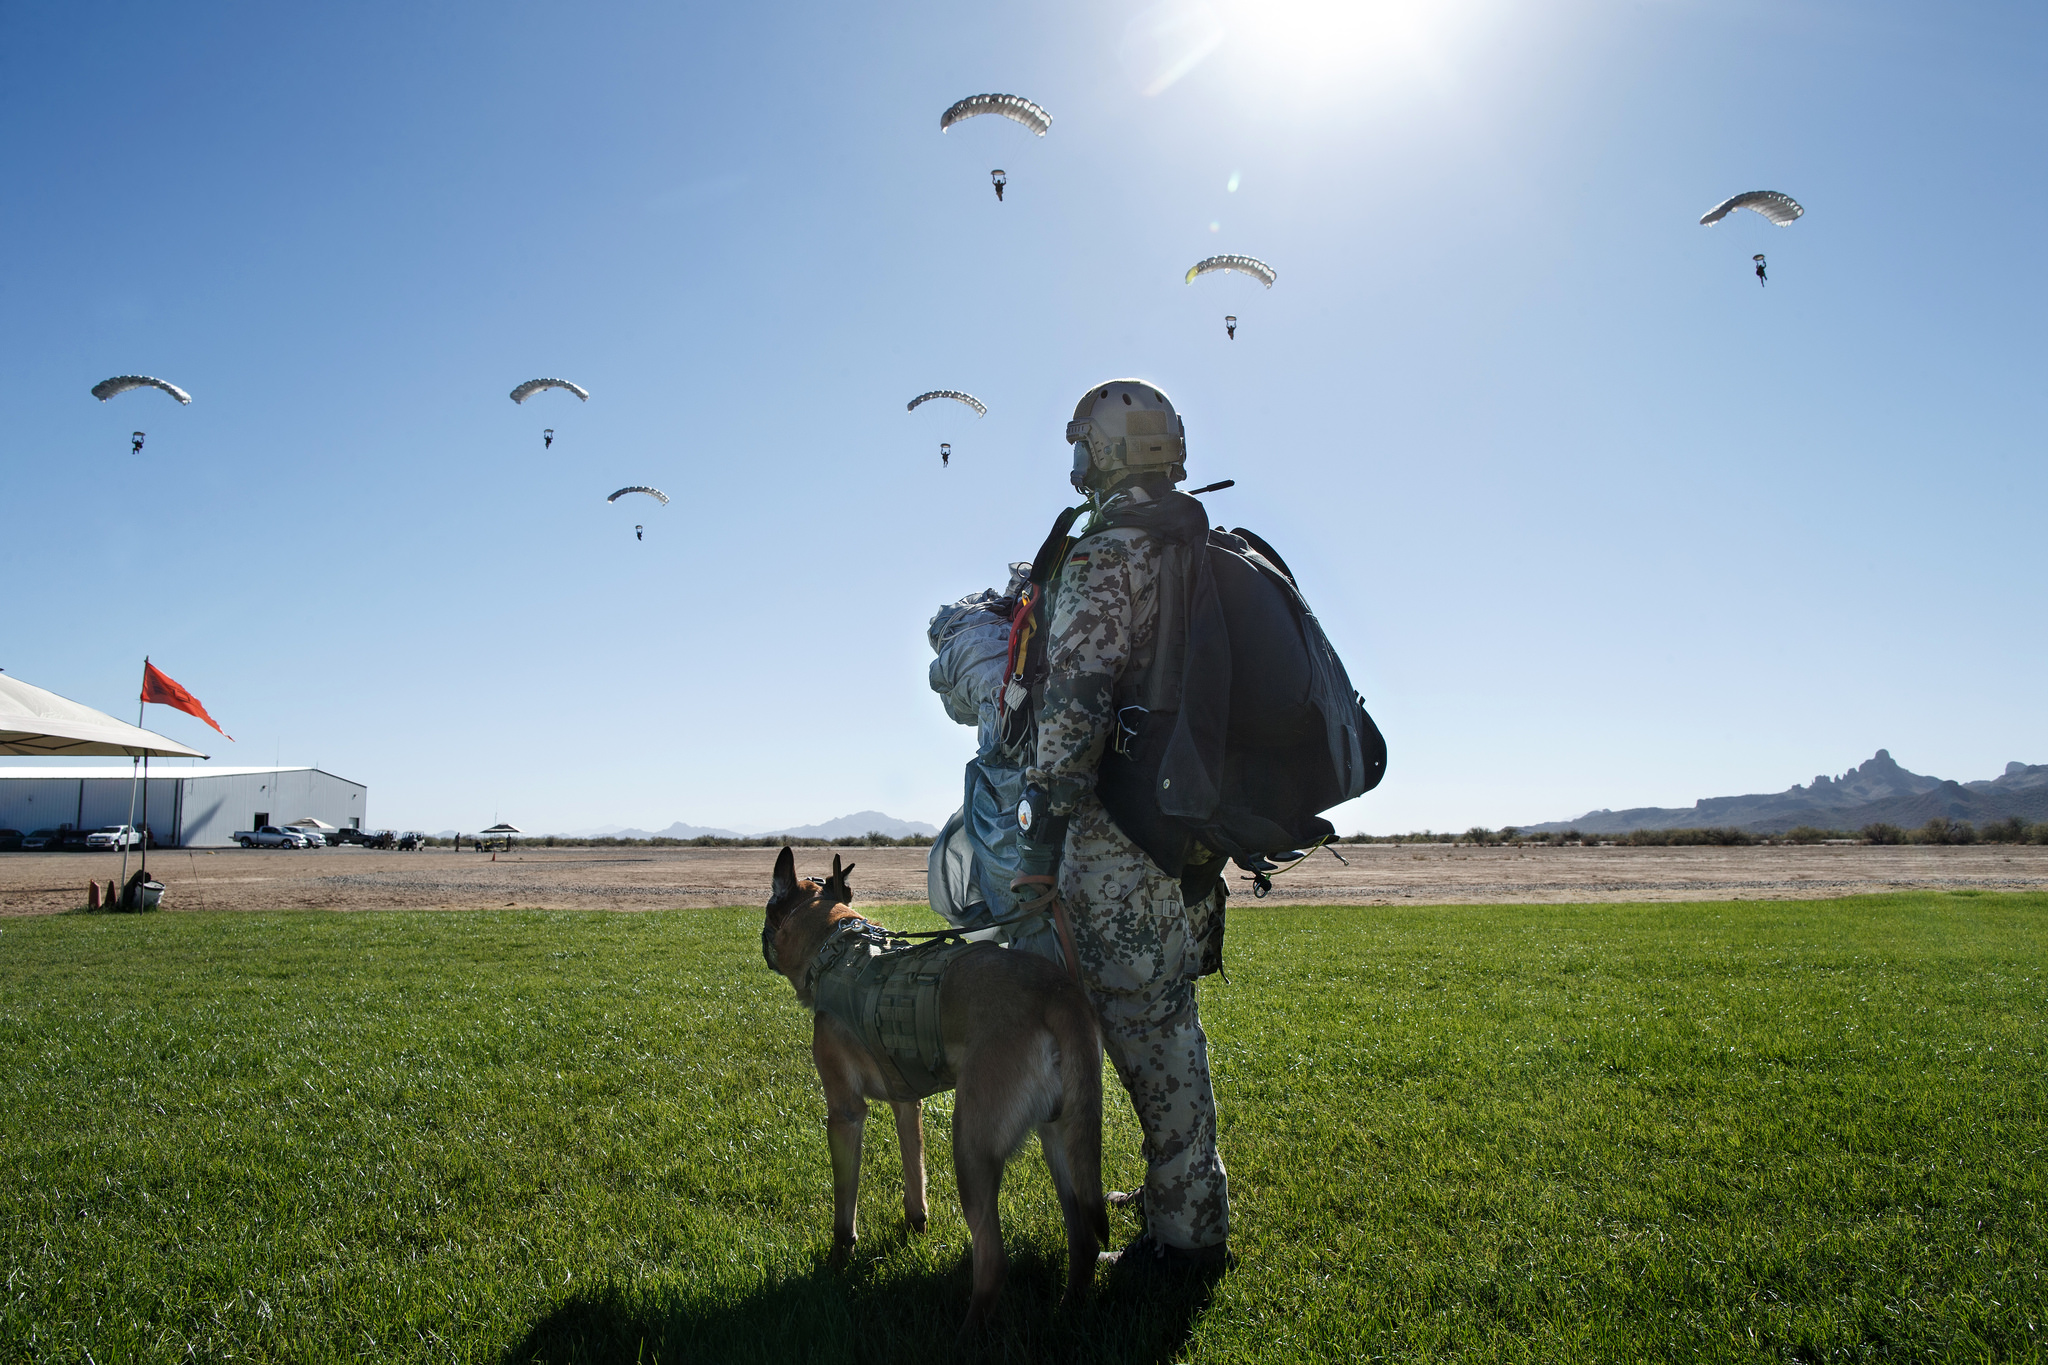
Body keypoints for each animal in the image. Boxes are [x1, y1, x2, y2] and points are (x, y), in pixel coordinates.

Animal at [765, 843, 1114, 1334]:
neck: (835, 946)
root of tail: (1058, 993)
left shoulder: (845, 1114)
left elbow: (844, 1204)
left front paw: (838, 1261)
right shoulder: (905, 1103)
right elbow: (915, 1174)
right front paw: (916, 1225)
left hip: (971, 1146)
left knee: (994, 1262)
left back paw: (966, 1335)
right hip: (1063, 1139)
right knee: (1083, 1238)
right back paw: (1068, 1310)